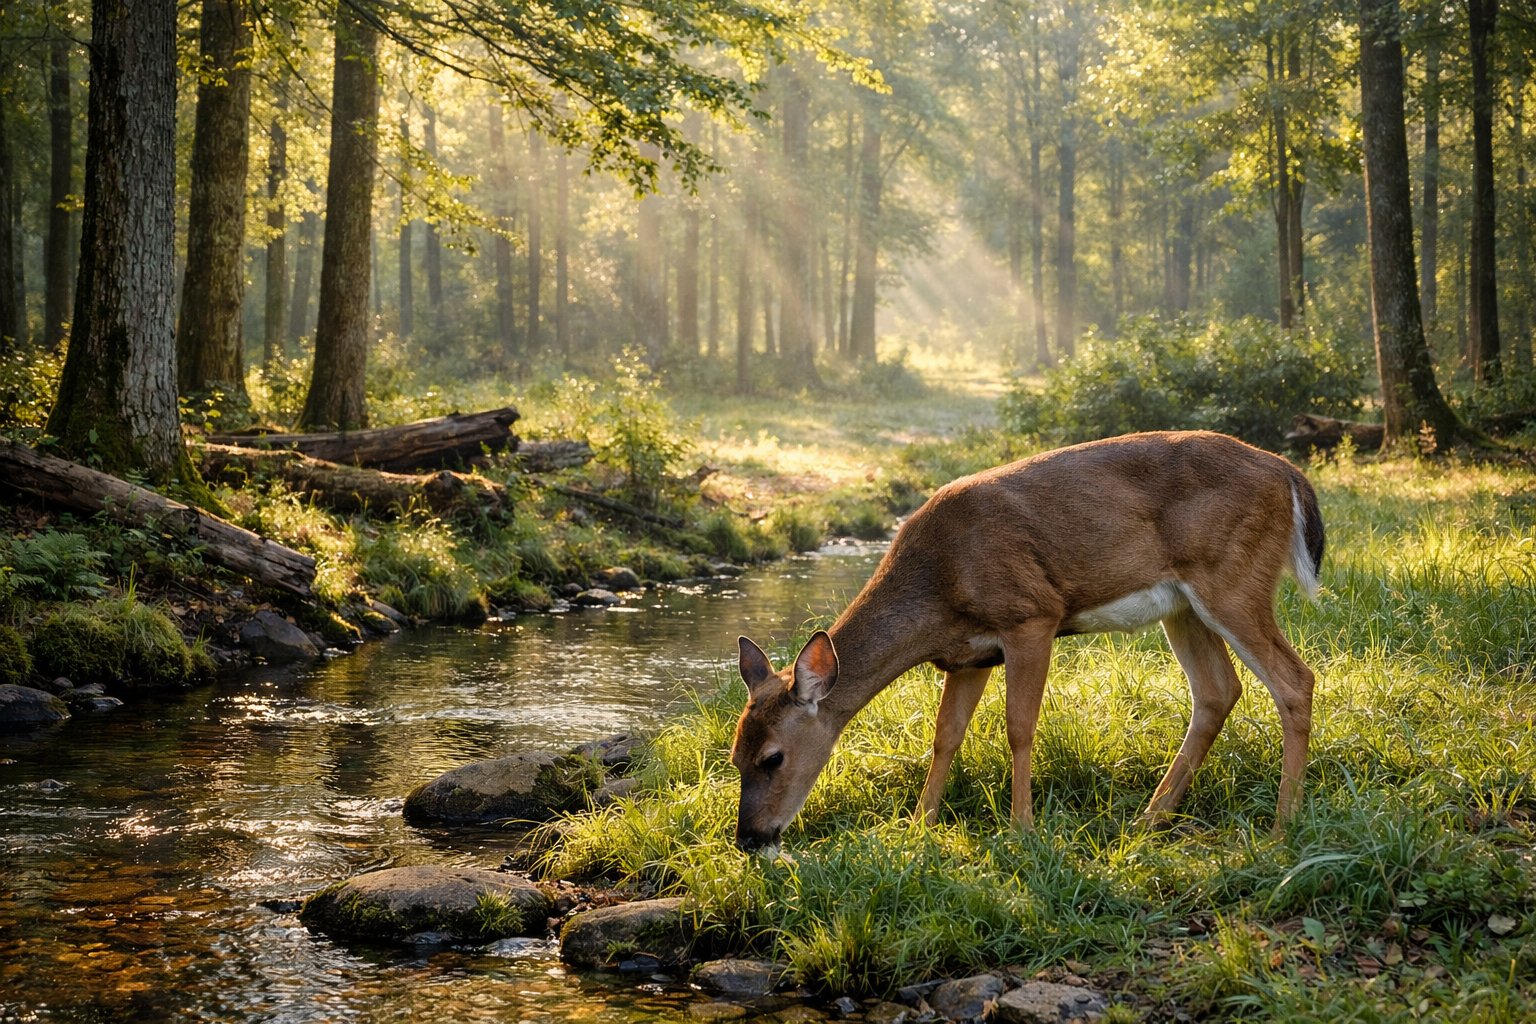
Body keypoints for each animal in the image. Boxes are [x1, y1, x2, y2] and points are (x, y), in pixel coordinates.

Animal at [730, 430, 1323, 852]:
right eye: (734, 757)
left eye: (772, 758)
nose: (750, 839)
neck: (938, 585)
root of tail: (1290, 475)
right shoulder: (968, 656)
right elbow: (946, 736)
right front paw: (919, 825)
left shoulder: (1031, 616)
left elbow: (1019, 727)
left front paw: (1021, 829)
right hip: (1183, 606)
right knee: (1218, 690)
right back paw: (1150, 818)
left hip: (1232, 579)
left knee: (1295, 679)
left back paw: (1283, 825)